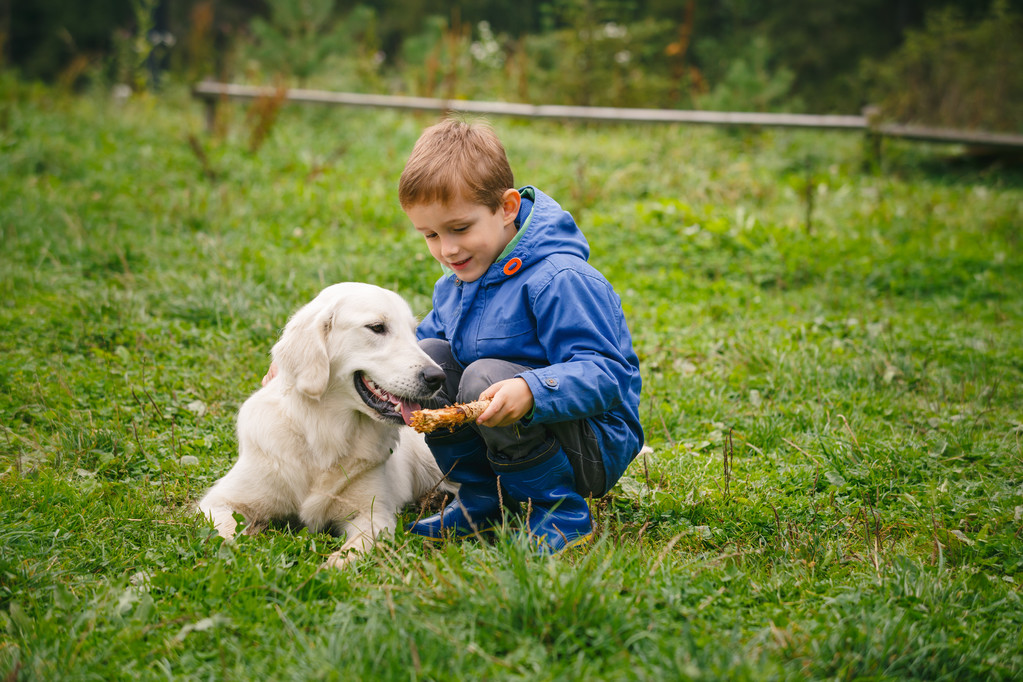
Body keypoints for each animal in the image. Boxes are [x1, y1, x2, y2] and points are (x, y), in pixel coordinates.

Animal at [198, 280, 452, 568]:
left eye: (413, 332)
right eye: (377, 327)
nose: (437, 377)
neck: (325, 432)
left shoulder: (374, 515)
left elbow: (346, 557)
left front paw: (325, 569)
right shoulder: (219, 502)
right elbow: (225, 538)